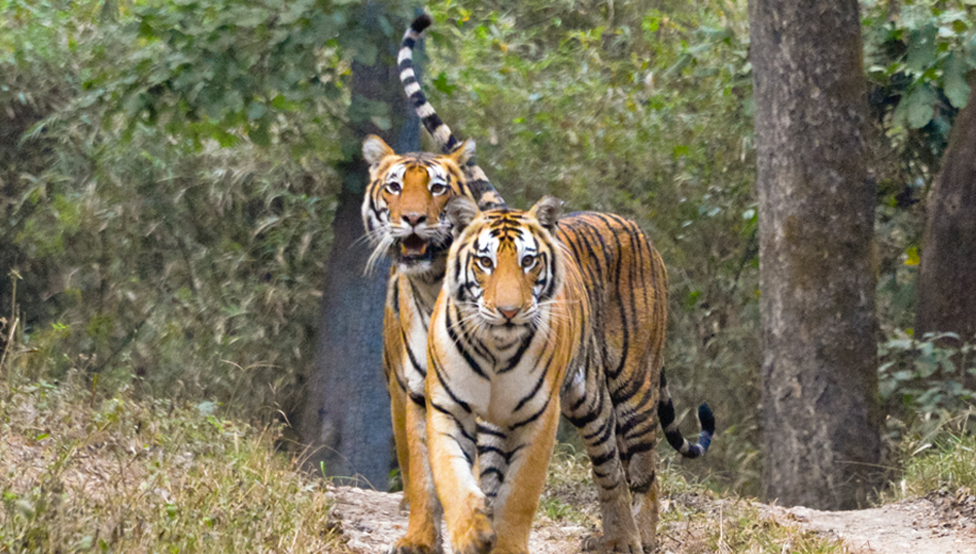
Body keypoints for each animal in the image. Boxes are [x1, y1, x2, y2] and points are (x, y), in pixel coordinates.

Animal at [424, 196, 712, 548]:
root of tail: (634, 227)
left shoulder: (540, 414)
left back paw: (634, 539)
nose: (508, 312)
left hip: (626, 389)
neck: (496, 349)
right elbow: (461, 480)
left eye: (528, 261)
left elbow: (519, 491)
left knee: (634, 473)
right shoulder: (450, 408)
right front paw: (474, 533)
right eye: (485, 262)